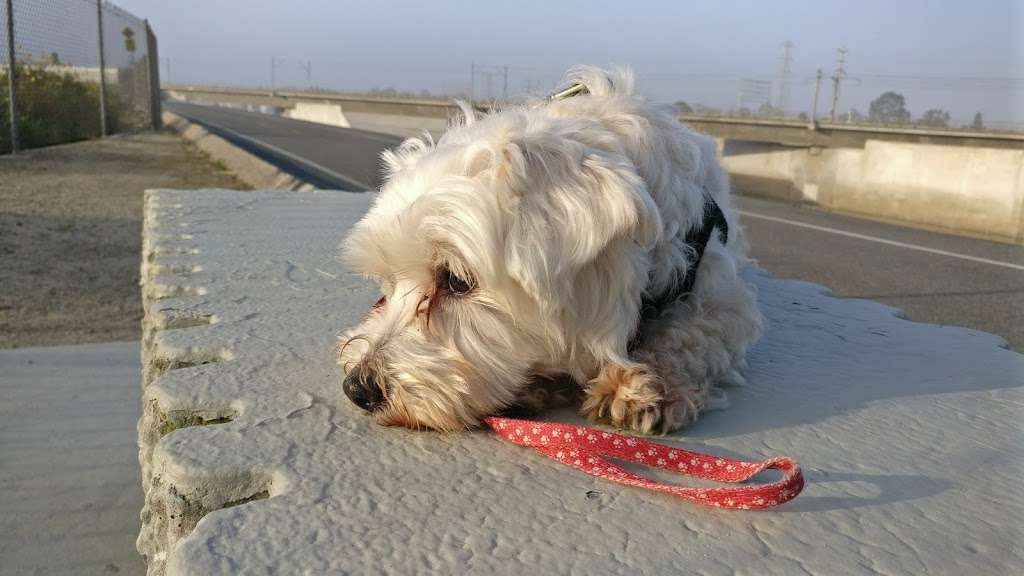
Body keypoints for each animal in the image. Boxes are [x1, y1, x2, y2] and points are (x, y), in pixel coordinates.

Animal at [342, 67, 761, 432]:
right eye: (388, 283)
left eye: (457, 281)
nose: (357, 388)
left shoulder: (721, 293)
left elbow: (696, 330)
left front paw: (645, 382)